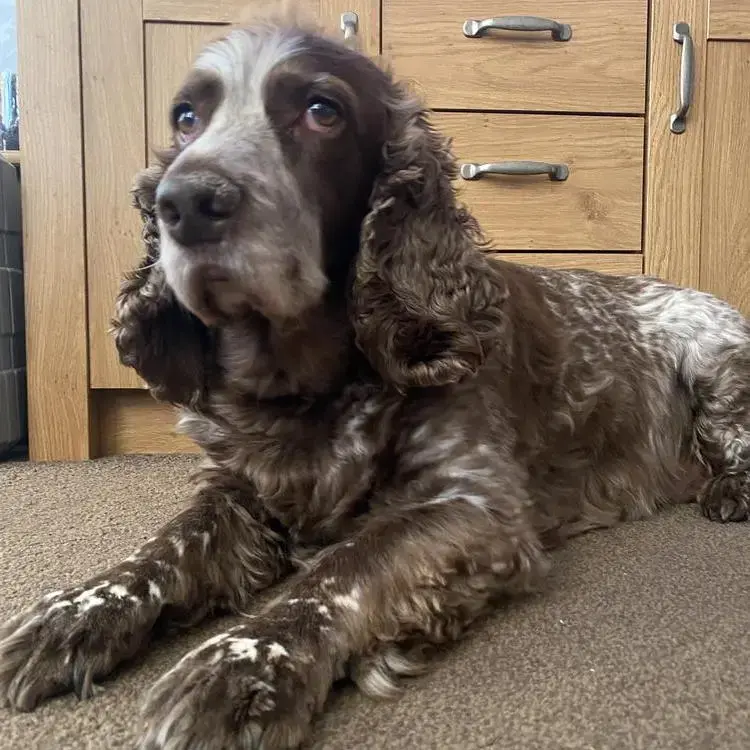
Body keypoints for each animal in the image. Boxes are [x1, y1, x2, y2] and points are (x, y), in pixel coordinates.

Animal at [1, 11, 750, 750]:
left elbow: (343, 570)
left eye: (321, 110)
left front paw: (242, 667)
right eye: (186, 117)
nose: (183, 199)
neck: (308, 390)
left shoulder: (473, 507)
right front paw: (76, 610)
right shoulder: (238, 490)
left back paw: (727, 493)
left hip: (715, 363)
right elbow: (164, 547)